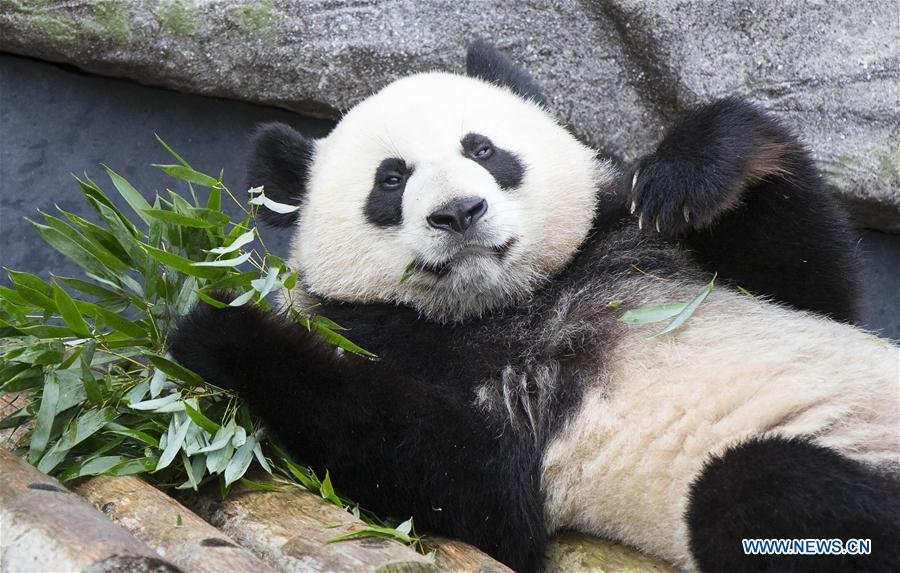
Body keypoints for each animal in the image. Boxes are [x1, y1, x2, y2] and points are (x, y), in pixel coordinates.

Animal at [170, 40, 900, 573]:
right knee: (761, 488)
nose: (460, 212)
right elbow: (470, 483)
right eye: (391, 179)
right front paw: (220, 329)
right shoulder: (406, 345)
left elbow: (814, 288)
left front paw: (692, 168)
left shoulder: (632, 245)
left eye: (482, 148)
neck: (518, 299)